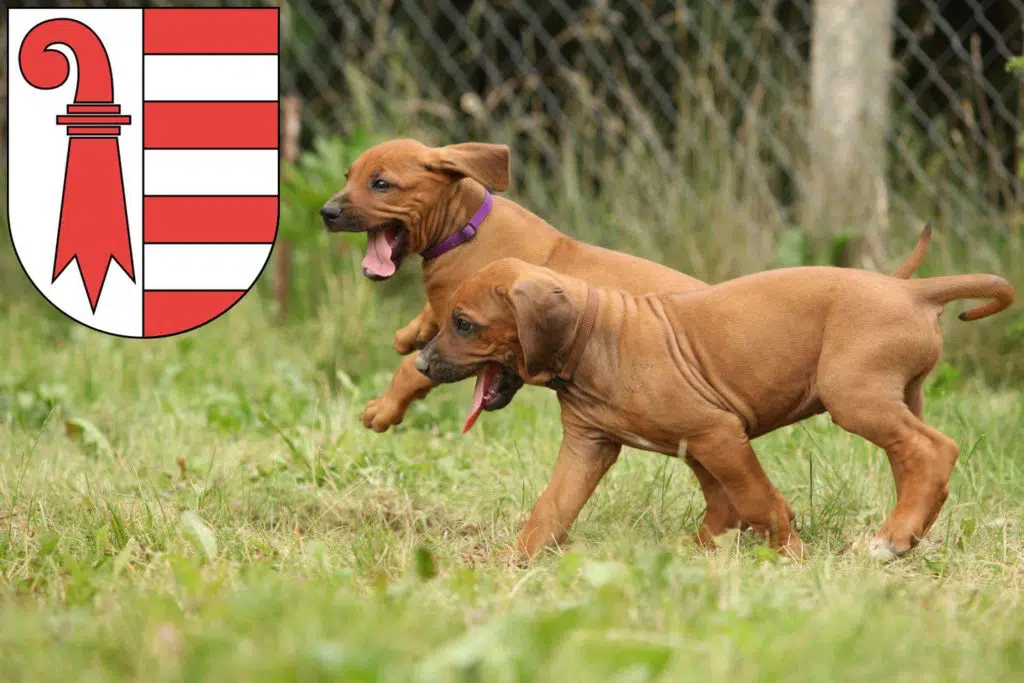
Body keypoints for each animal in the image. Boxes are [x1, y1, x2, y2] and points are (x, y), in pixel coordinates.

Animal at [321, 140, 937, 548]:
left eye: (381, 184)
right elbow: (421, 336)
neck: (467, 227)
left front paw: (384, 407)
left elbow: (416, 368)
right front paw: (408, 334)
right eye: (349, 175)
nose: (327, 211)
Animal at [415, 255, 1015, 561]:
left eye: (463, 323)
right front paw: (511, 566)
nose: (420, 363)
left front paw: (789, 555)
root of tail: (912, 291)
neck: (596, 340)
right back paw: (906, 536)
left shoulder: (718, 433)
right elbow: (551, 511)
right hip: (897, 398)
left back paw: (891, 539)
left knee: (936, 450)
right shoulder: (599, 447)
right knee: (917, 463)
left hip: (855, 397)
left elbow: (756, 500)